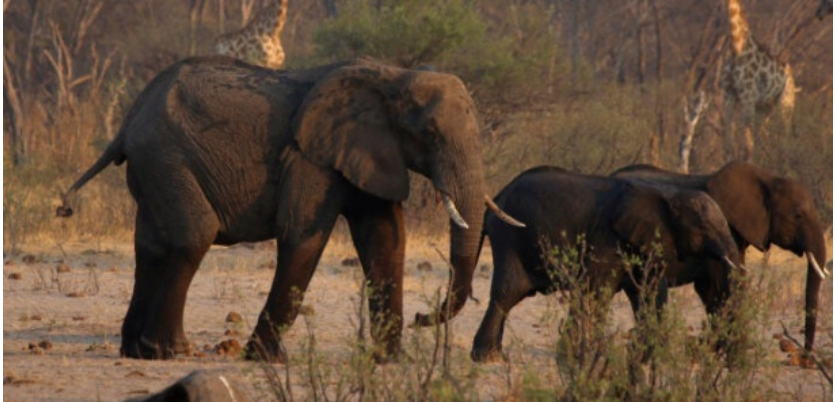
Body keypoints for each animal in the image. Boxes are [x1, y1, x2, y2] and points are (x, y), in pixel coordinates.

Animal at [55, 55, 520, 362]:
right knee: (192, 236)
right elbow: (303, 236)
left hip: (153, 166)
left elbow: (386, 240)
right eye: (430, 133)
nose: (425, 317)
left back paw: (135, 351)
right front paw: (264, 359)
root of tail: (128, 120)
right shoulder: (310, 157)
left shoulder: (368, 151)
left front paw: (390, 362)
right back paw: (169, 352)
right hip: (165, 157)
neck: (394, 75)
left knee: (150, 245)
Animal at [470, 166, 744, 362]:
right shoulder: (607, 238)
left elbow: (649, 293)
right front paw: (577, 357)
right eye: (704, 228)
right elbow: (597, 291)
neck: (666, 194)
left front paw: (650, 356)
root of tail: (496, 197)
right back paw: (487, 359)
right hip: (509, 236)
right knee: (508, 292)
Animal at [720, 0, 796, 161]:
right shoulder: (728, 95)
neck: (736, 47)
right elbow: (729, 143)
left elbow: (748, 145)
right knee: (761, 133)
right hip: (765, 107)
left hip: (786, 103)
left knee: (784, 136)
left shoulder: (748, 97)